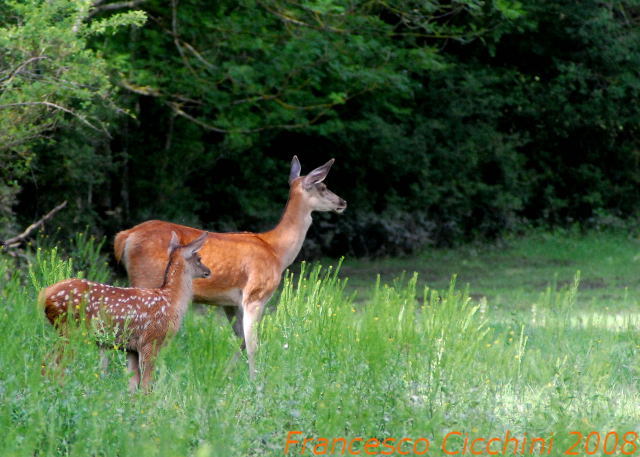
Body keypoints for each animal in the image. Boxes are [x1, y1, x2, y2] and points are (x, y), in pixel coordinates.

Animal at [40, 233, 210, 390]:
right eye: (199, 258)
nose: (208, 272)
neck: (171, 300)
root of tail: (45, 294)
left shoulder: (131, 348)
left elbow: (132, 385)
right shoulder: (151, 340)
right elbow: (146, 384)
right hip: (71, 330)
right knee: (54, 364)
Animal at [115, 157, 344, 378]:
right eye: (322, 186)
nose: (343, 202)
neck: (277, 251)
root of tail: (126, 236)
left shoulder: (230, 303)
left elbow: (240, 340)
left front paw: (225, 375)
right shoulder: (255, 294)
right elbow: (253, 345)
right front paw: (255, 381)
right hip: (147, 282)